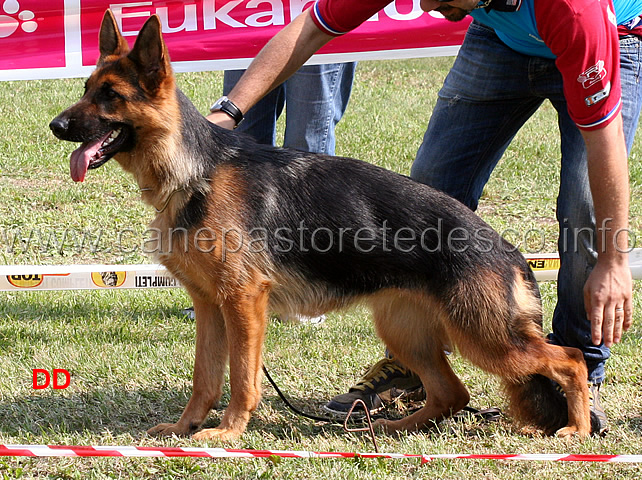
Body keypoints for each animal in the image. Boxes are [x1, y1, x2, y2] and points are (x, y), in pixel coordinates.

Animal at [48, 11, 596, 440]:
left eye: (110, 96)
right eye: (86, 90)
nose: (55, 127)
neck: (194, 170)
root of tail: (509, 251)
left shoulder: (243, 303)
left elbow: (242, 379)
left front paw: (227, 433)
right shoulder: (209, 306)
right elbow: (205, 377)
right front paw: (186, 428)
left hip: (485, 337)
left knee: (569, 359)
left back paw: (577, 429)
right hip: (408, 332)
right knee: (451, 393)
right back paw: (390, 427)